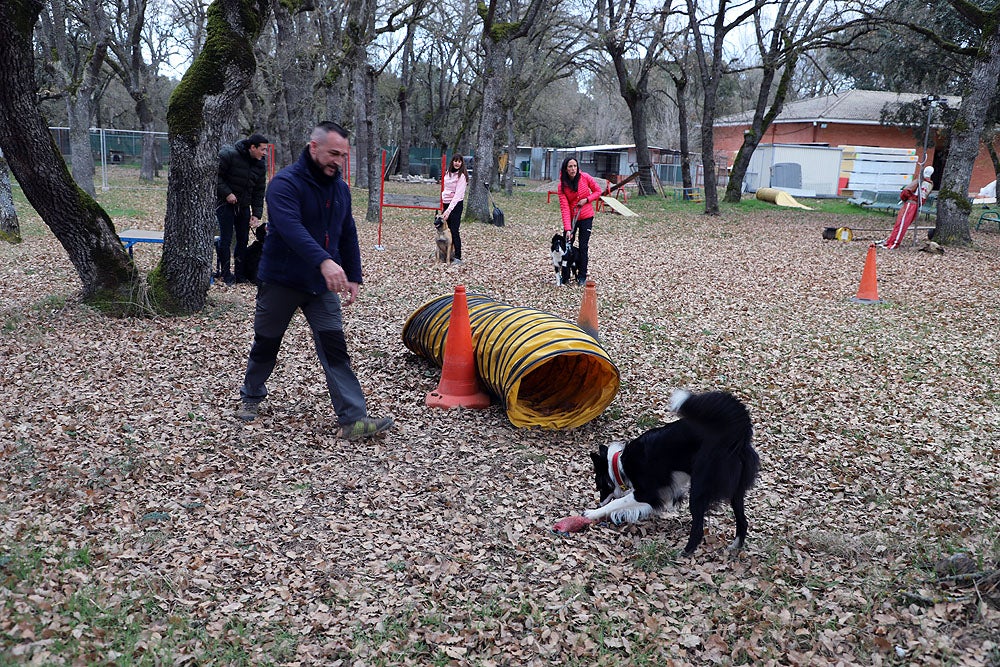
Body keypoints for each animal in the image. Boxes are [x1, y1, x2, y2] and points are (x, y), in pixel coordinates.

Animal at [584, 388, 756, 556]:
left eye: (599, 486)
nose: (599, 502)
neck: (619, 465)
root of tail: (736, 435)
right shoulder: (665, 492)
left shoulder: (646, 493)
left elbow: (617, 502)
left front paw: (593, 513)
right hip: (736, 492)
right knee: (743, 521)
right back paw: (735, 547)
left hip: (699, 489)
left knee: (698, 529)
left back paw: (684, 553)